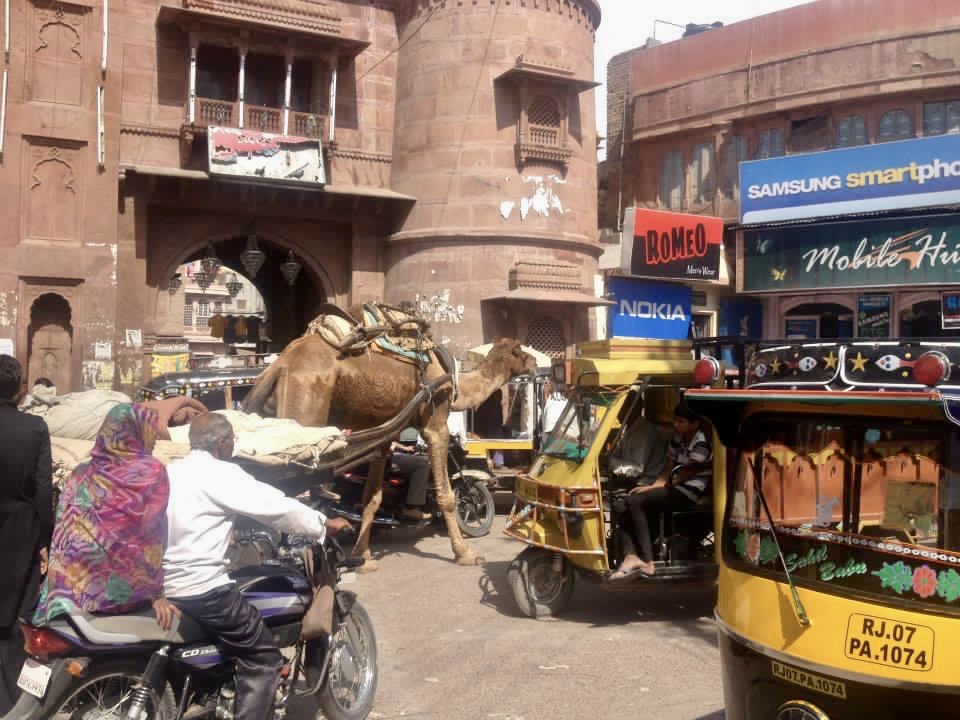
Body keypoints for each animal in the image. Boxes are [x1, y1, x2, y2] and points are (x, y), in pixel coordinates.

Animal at [244, 334, 536, 568]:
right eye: (520, 351)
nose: (535, 363)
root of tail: (279, 365)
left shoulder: (384, 434)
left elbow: (372, 497)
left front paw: (363, 556)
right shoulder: (435, 424)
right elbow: (448, 496)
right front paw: (465, 554)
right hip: (304, 410)